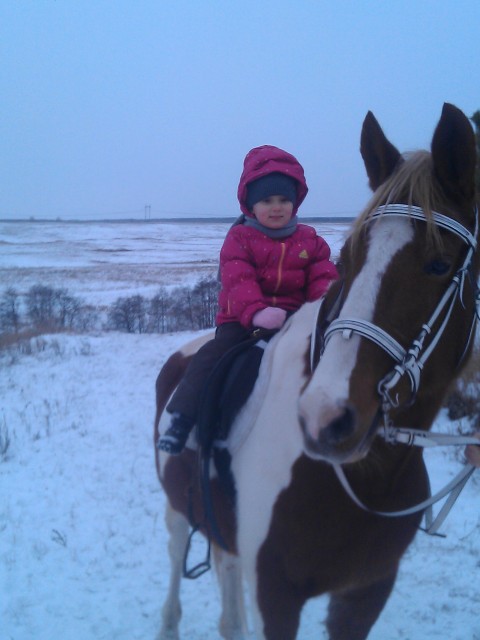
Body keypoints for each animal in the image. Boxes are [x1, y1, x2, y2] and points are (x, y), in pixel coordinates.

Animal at [156, 102, 478, 636]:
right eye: (349, 258)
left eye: (438, 264)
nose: (324, 419)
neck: (366, 479)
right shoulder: (276, 597)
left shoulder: (365, 593)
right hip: (179, 509)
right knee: (176, 559)